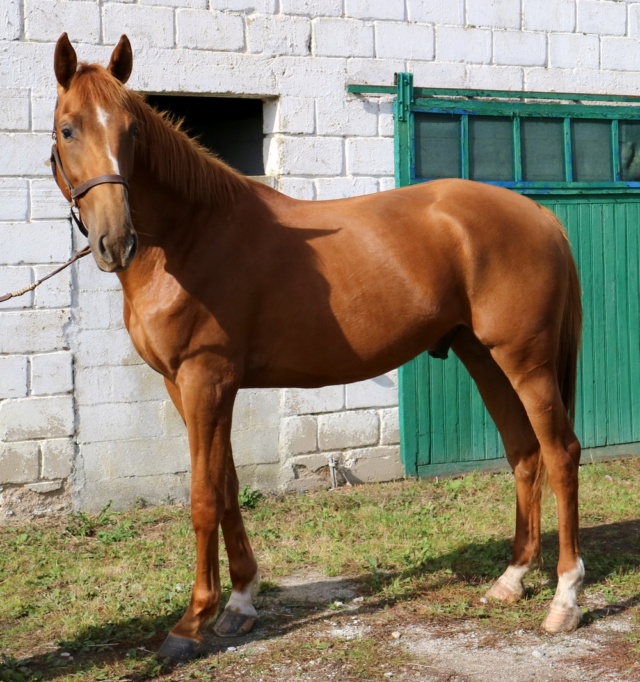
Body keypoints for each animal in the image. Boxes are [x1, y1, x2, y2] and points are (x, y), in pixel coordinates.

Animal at [53, 34, 584, 656]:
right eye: (68, 129)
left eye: (132, 130)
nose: (115, 240)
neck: (191, 237)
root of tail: (540, 215)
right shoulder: (186, 385)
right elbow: (228, 485)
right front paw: (240, 604)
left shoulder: (205, 378)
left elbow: (205, 496)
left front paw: (191, 622)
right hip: (483, 357)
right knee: (523, 452)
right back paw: (511, 579)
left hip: (526, 362)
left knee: (560, 453)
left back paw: (565, 599)